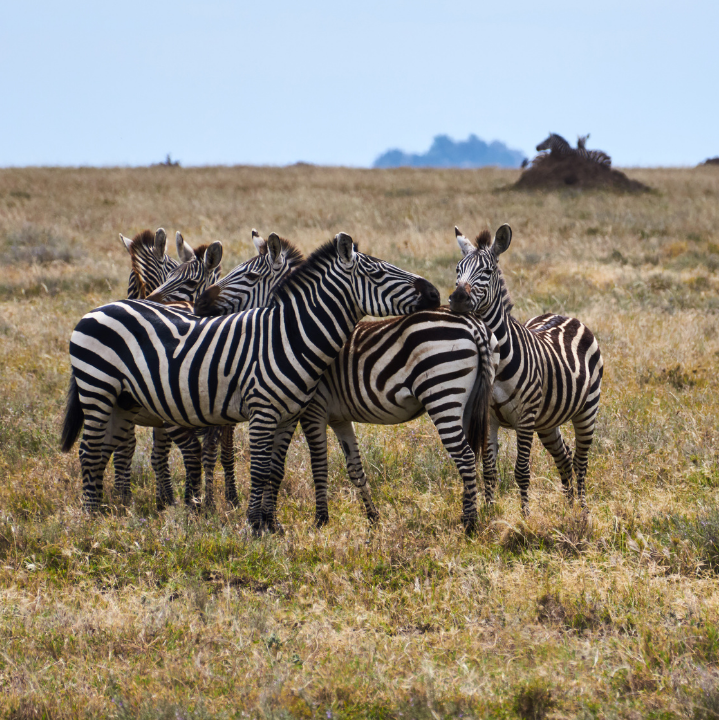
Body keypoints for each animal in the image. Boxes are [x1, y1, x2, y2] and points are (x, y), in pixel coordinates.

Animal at [60, 233, 438, 532]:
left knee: (111, 451)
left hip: (122, 401)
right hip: (97, 390)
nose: (435, 293)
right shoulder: (262, 411)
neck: (288, 335)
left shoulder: (288, 416)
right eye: (378, 272)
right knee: (89, 450)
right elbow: (257, 470)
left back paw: (113, 510)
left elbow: (274, 469)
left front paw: (272, 523)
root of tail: (99, 309)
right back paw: (92, 517)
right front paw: (255, 524)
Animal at [450, 225, 600, 512]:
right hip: (548, 421)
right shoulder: (490, 418)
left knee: (581, 461)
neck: (497, 360)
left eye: (487, 272)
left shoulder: (525, 418)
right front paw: (490, 512)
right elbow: (489, 471)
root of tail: (566, 316)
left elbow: (521, 471)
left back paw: (583, 509)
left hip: (586, 410)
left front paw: (525, 515)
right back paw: (569, 507)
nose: (458, 299)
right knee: (564, 456)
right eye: (457, 270)